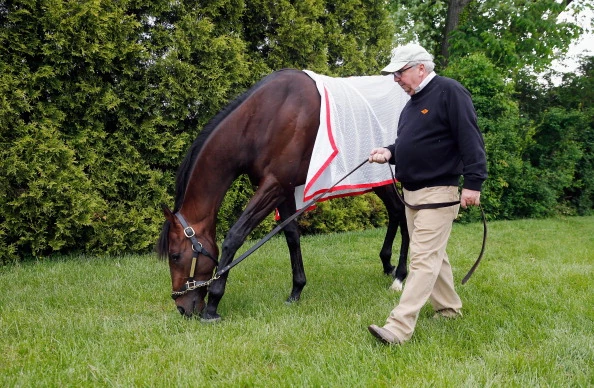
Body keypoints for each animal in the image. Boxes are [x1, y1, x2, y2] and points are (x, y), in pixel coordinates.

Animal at [156, 69, 408, 322]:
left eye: (175, 256)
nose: (182, 307)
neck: (265, 118)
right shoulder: (284, 190)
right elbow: (291, 235)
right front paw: (296, 290)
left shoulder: (273, 186)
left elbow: (234, 236)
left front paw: (213, 304)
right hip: (377, 176)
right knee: (396, 210)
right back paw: (388, 264)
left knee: (405, 213)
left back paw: (401, 275)